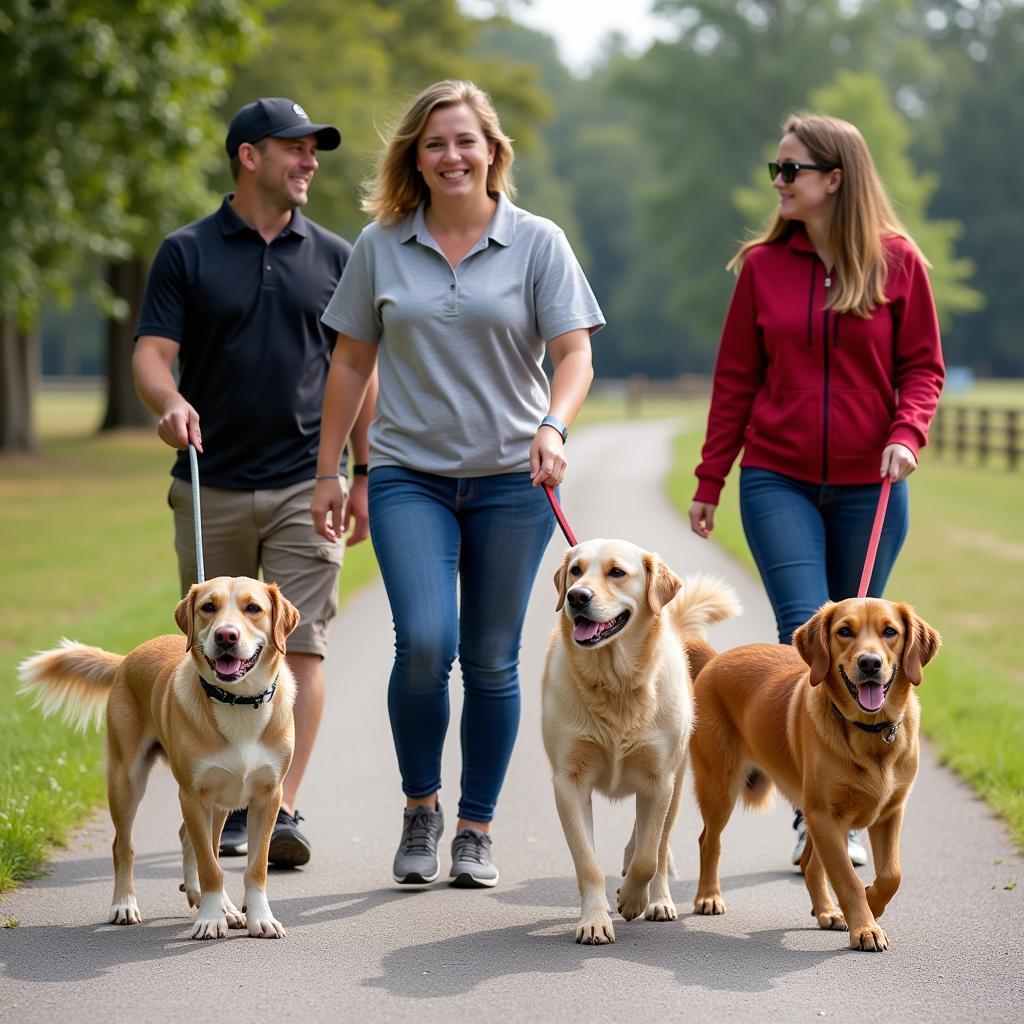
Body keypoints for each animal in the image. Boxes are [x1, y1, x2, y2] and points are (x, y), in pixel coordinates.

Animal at [18, 577, 299, 937]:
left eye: (253, 608)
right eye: (208, 607)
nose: (226, 636)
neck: (238, 702)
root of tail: (127, 657)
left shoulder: (268, 796)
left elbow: (255, 866)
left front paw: (258, 917)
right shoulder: (192, 795)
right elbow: (210, 866)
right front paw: (209, 919)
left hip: (221, 799)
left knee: (192, 839)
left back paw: (222, 905)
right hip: (127, 781)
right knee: (124, 846)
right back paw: (125, 904)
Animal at [540, 540, 741, 946]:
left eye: (617, 572)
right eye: (576, 570)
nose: (576, 597)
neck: (615, 682)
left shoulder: (658, 780)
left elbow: (649, 857)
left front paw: (633, 900)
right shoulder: (569, 781)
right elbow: (588, 863)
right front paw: (595, 920)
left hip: (676, 785)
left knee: (659, 849)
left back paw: (658, 900)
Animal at [692, 598, 937, 950]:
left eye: (890, 631)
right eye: (844, 631)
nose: (870, 663)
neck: (871, 732)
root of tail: (716, 660)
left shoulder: (889, 812)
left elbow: (892, 874)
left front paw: (871, 905)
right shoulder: (825, 814)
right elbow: (847, 878)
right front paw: (865, 926)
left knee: (810, 864)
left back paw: (827, 912)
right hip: (721, 788)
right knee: (709, 841)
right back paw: (708, 897)